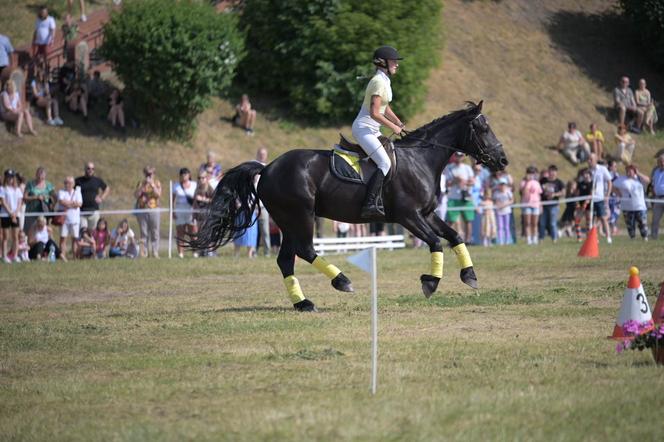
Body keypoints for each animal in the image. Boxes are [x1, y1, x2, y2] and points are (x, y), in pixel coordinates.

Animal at [192, 102, 508, 312]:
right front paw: (430, 282)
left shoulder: (426, 214)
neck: (420, 159)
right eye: (482, 128)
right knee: (305, 251)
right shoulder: (408, 217)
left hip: (288, 222)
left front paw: (469, 276)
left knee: (286, 260)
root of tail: (267, 167)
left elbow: (454, 236)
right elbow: (435, 242)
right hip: (300, 216)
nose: (503, 161)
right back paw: (342, 281)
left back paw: (303, 303)